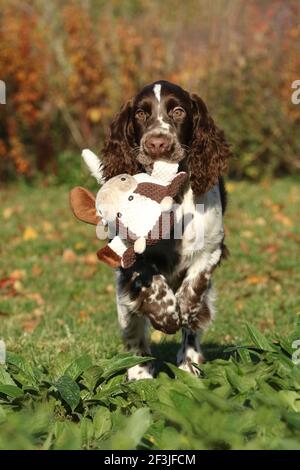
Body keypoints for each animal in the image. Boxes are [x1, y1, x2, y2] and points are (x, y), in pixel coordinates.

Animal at [83, 81, 231, 380]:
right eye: (141, 113)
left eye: (178, 111)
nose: (157, 144)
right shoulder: (131, 258)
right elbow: (153, 286)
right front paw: (166, 316)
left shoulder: (212, 247)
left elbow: (194, 287)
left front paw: (182, 310)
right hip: (123, 301)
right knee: (134, 334)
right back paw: (140, 375)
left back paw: (189, 364)